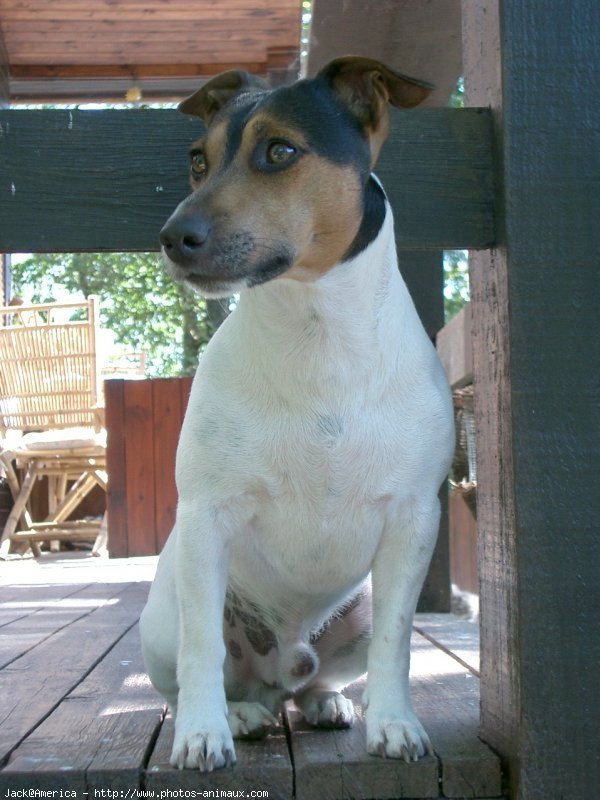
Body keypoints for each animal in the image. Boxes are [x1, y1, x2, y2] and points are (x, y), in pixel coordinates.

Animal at [139, 56, 450, 768]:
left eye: (279, 151)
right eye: (197, 160)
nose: (172, 237)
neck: (315, 335)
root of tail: (276, 670)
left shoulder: (414, 521)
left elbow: (397, 643)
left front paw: (395, 724)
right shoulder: (206, 515)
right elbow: (202, 648)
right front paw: (203, 734)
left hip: (353, 615)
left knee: (319, 679)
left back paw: (324, 702)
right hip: (165, 614)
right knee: (191, 673)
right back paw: (239, 713)